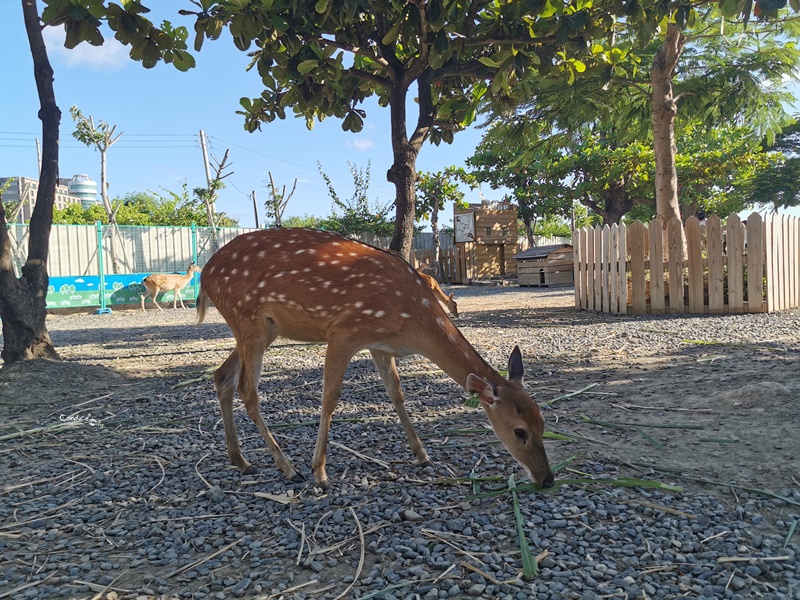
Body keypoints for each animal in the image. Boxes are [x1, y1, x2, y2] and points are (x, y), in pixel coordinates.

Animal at [197, 227, 552, 490]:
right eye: (520, 431)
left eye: (544, 422)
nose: (547, 478)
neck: (412, 317)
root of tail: (205, 277)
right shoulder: (344, 331)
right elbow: (329, 398)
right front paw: (319, 473)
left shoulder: (381, 345)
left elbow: (397, 393)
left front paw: (422, 455)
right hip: (248, 320)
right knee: (247, 390)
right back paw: (288, 468)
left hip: (264, 328)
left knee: (222, 376)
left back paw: (242, 461)